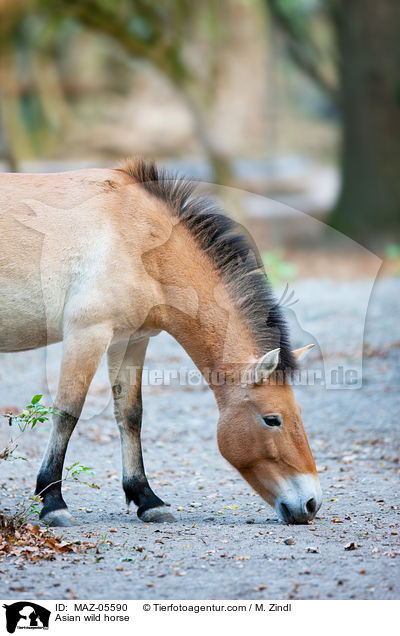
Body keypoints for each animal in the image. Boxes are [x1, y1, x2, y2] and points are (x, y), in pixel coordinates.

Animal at [0, 159, 322, 528]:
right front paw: (53, 503)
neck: (136, 236)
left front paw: (147, 500)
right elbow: (67, 411)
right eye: (272, 419)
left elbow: (130, 414)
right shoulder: (88, 333)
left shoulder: (130, 339)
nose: (311, 504)